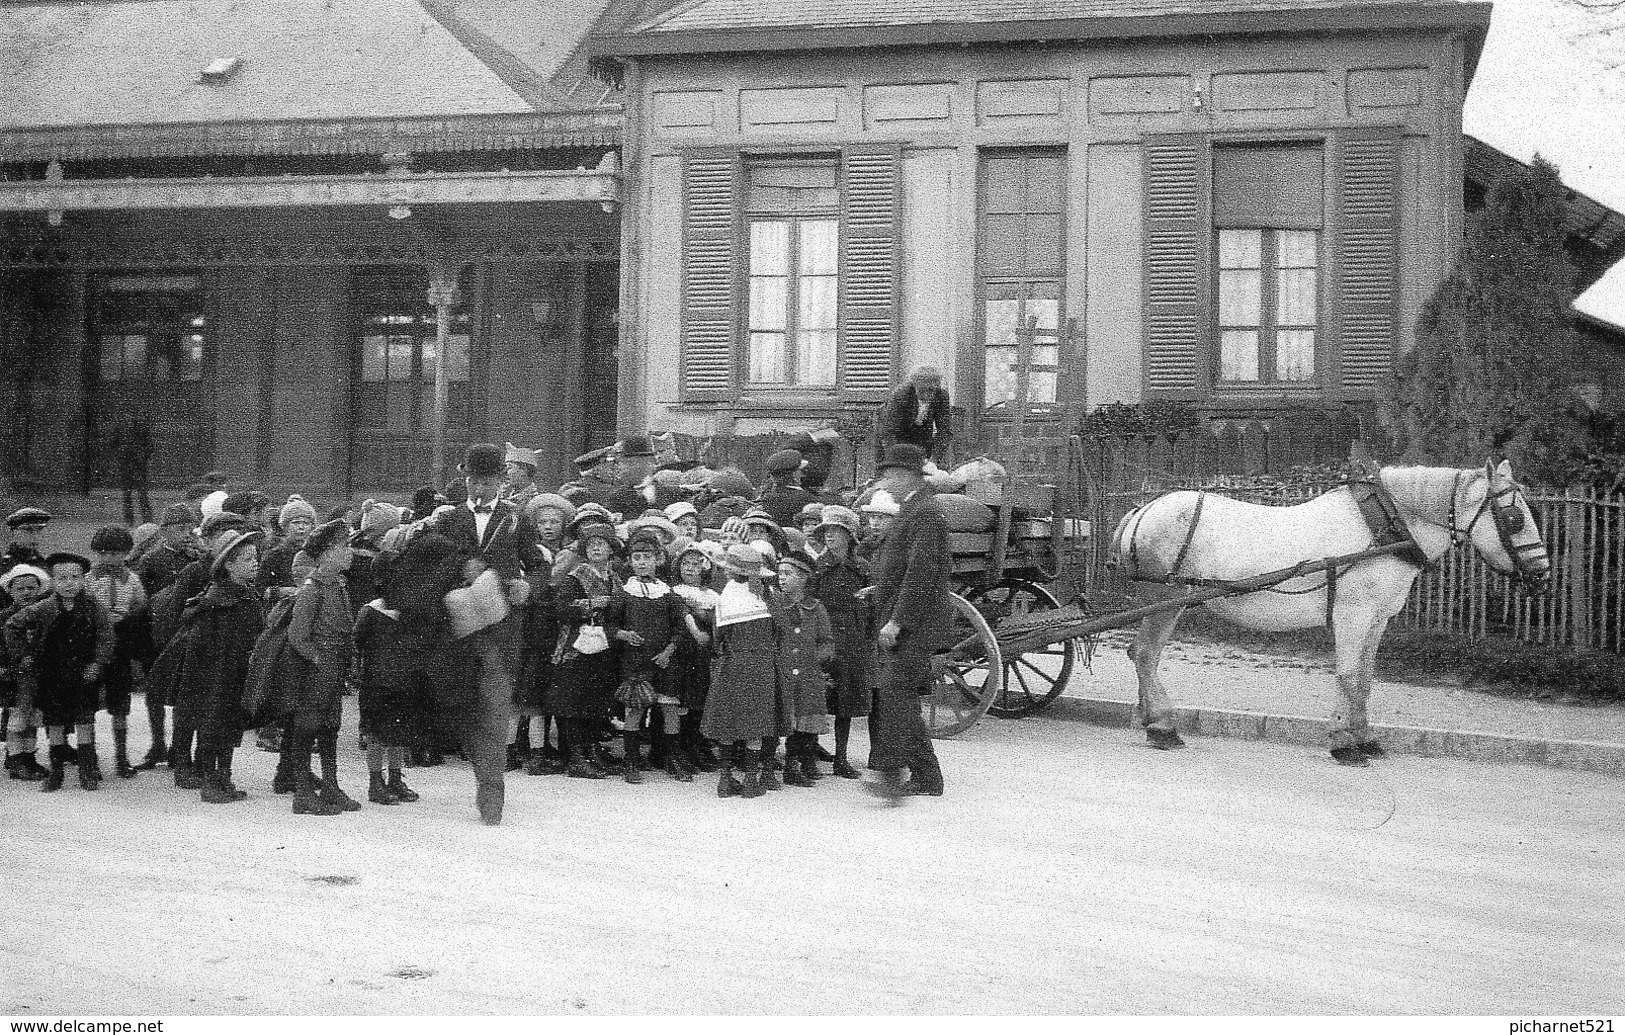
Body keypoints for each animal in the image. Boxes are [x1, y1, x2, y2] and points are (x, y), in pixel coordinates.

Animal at [1111, 458, 1553, 760]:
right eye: (1514, 518)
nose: (1543, 576)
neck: (1385, 530)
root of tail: (1141, 512)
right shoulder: (1354, 614)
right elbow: (1348, 675)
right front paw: (1344, 744)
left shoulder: (1377, 618)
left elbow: (1366, 679)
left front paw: (1364, 738)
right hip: (1163, 602)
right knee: (1145, 654)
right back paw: (1163, 727)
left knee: (1143, 655)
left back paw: (1151, 721)